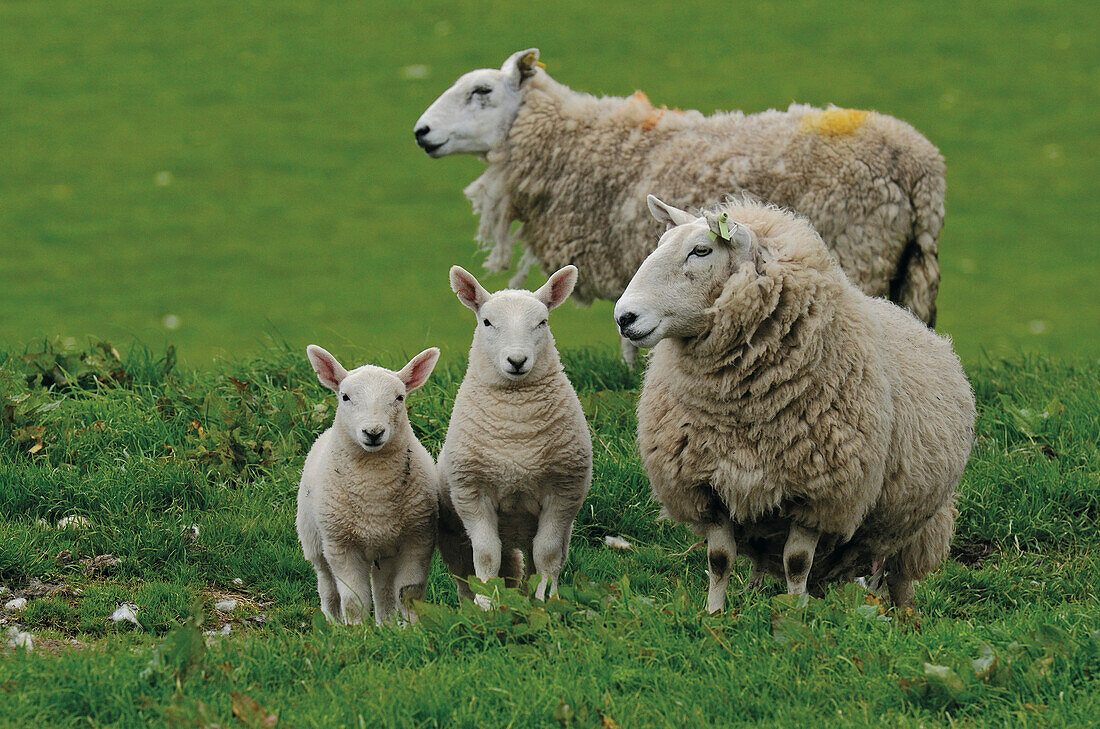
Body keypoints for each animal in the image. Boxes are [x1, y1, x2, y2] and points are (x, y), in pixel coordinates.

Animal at [301, 345, 442, 624]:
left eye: (399, 397)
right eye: (345, 397)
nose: (373, 432)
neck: (374, 489)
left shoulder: (418, 539)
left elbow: (408, 593)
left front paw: (412, 629)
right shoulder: (340, 545)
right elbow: (354, 602)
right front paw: (356, 629)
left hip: (383, 551)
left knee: (383, 592)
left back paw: (385, 625)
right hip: (313, 540)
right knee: (327, 586)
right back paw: (333, 624)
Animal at [415, 47, 950, 360]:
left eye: (481, 91)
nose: (422, 132)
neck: (580, 144)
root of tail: (921, 162)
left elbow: (631, 338)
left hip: (864, 250)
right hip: (908, 265)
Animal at [435, 262, 594, 602]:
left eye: (542, 322)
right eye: (487, 322)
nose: (517, 361)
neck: (516, 429)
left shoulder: (562, 492)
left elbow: (547, 553)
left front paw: (546, 600)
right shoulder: (472, 493)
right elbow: (485, 556)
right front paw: (486, 604)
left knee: (531, 561)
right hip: (454, 536)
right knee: (470, 570)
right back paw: (474, 602)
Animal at [616, 193, 976, 611]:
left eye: (701, 250)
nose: (624, 317)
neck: (742, 410)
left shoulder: (819, 495)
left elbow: (797, 562)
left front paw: (797, 614)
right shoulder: (707, 486)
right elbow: (719, 559)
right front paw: (715, 614)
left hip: (919, 524)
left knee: (901, 578)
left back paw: (906, 618)